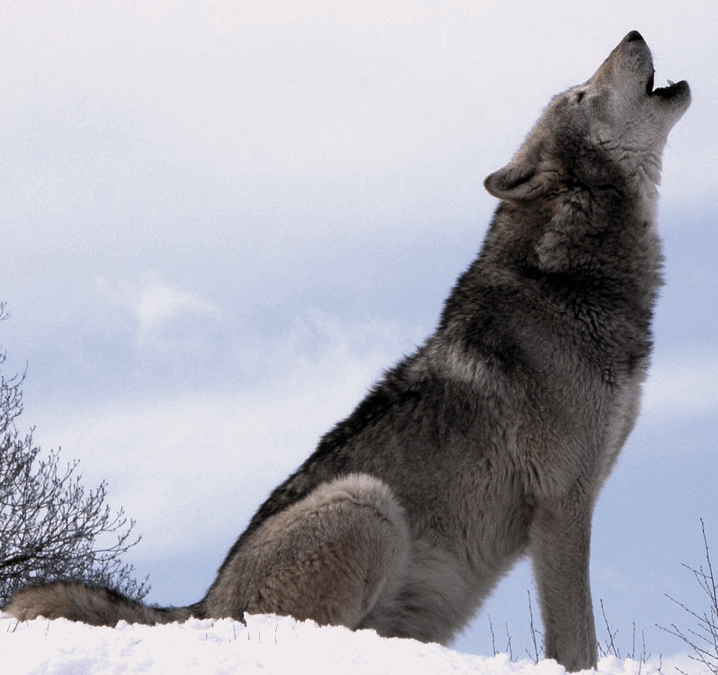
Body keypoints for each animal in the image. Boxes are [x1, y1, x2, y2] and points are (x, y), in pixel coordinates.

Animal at [7, 30, 692, 672]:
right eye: (580, 94)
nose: (633, 33)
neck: (567, 278)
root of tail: (202, 607)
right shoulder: (562, 505)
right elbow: (577, 639)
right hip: (367, 502)